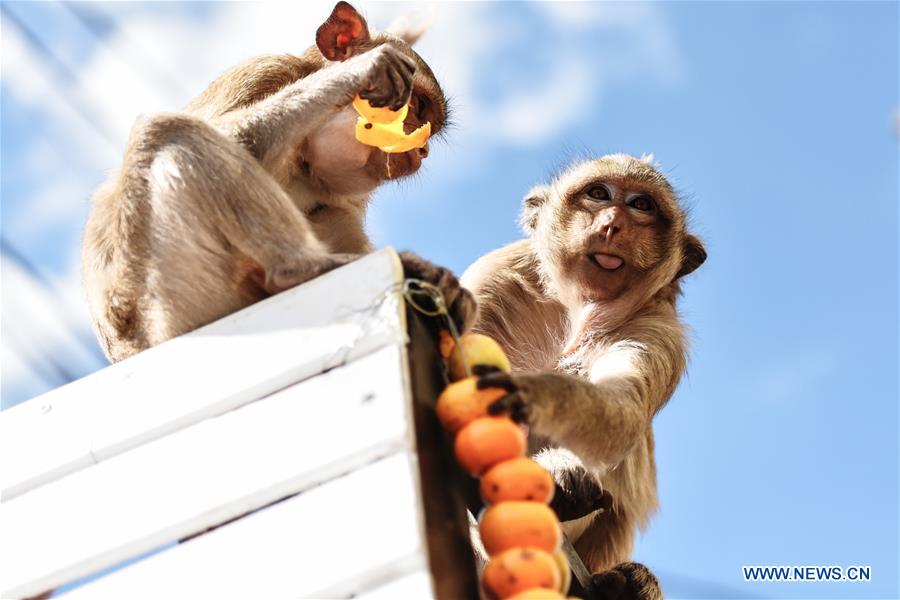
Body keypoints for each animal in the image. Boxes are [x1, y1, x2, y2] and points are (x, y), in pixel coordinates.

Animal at [464, 155, 712, 600]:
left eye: (642, 205)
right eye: (599, 194)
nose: (612, 223)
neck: (579, 313)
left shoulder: (659, 330)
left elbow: (624, 414)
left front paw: (533, 395)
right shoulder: (496, 275)